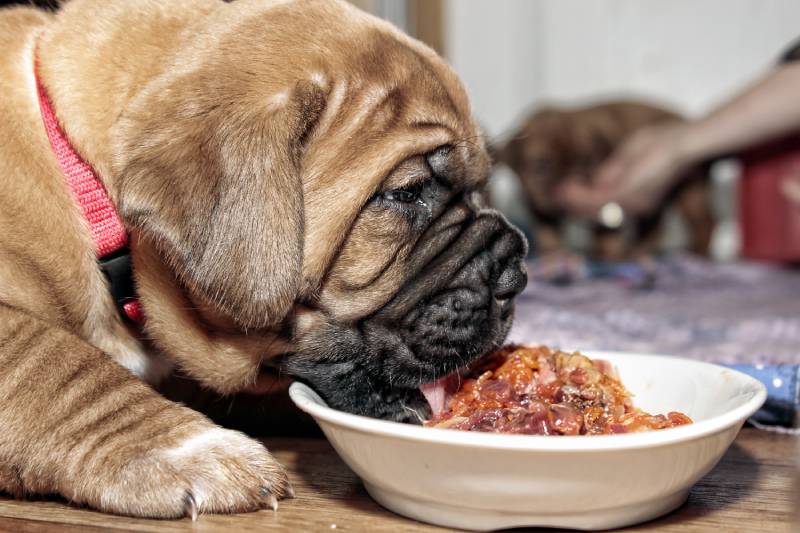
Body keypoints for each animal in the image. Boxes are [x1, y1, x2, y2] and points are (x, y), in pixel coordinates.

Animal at [500, 100, 712, 262]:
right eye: (543, 165)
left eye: (584, 161)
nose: (570, 180)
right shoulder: (539, 208)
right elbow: (548, 233)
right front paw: (553, 255)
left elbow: (605, 232)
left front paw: (606, 255)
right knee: (654, 226)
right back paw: (637, 251)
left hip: (690, 192)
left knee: (704, 223)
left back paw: (697, 255)